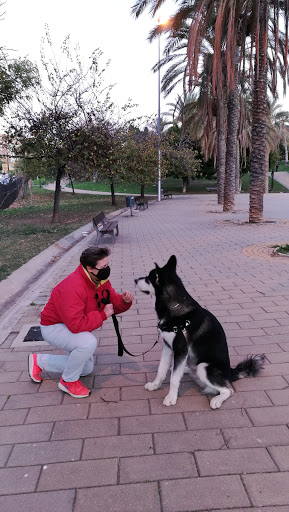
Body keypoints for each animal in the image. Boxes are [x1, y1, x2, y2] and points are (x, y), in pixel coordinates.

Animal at [134, 255, 264, 408]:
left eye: (148, 278)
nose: (135, 280)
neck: (174, 305)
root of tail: (230, 373)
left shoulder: (181, 349)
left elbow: (174, 379)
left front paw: (171, 397)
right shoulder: (167, 346)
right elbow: (161, 370)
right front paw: (155, 385)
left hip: (204, 367)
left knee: (228, 390)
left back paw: (217, 399)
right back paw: (186, 369)